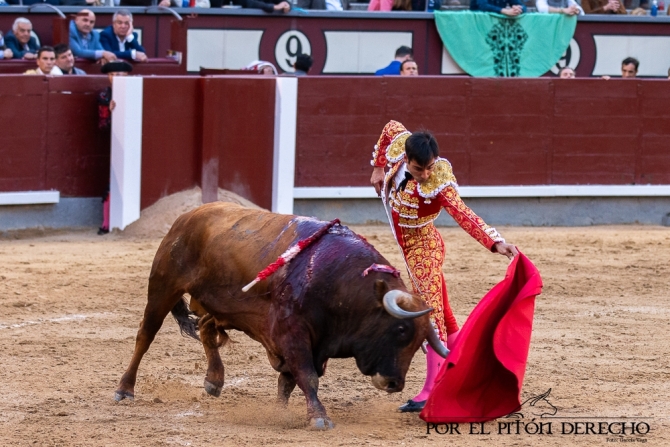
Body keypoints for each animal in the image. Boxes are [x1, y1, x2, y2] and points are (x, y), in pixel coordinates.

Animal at [116, 203, 448, 430]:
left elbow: (289, 380)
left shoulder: (311, 342)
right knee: (145, 336)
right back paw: (124, 390)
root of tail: (189, 215)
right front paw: (319, 418)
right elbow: (307, 376)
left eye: (421, 340)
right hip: (163, 287)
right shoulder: (293, 334)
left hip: (220, 306)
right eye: (401, 330)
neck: (343, 283)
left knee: (207, 330)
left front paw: (281, 412)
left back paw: (214, 381)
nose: (395, 384)